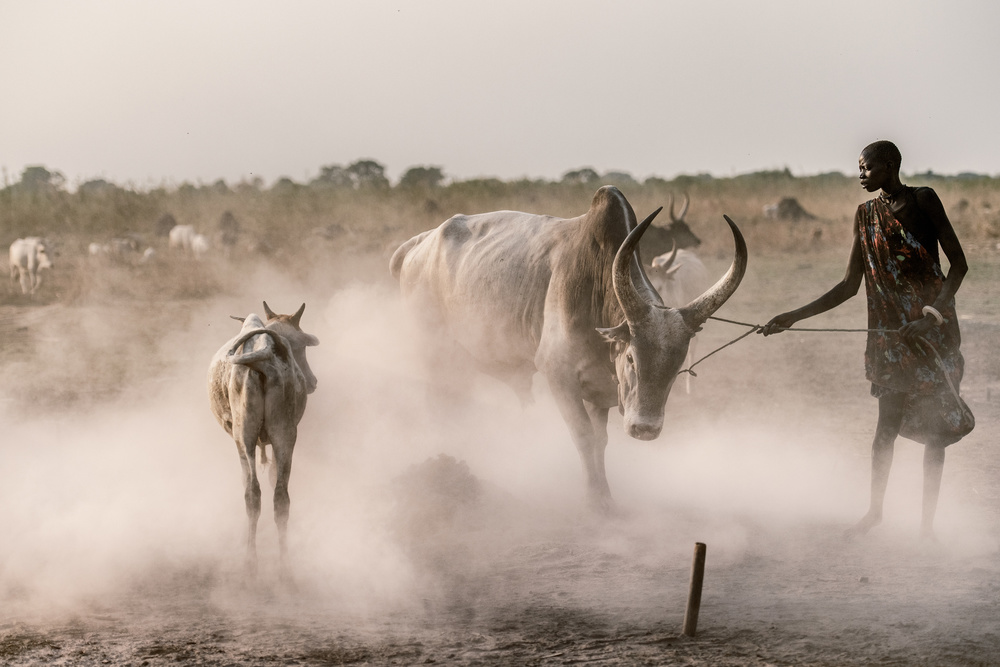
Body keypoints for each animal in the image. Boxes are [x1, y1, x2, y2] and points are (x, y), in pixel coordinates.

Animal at [207, 302, 320, 575]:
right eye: (301, 347)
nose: (312, 381)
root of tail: (265, 352)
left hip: (244, 436)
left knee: (252, 494)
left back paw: (251, 563)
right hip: (285, 435)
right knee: (281, 497)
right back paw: (284, 564)